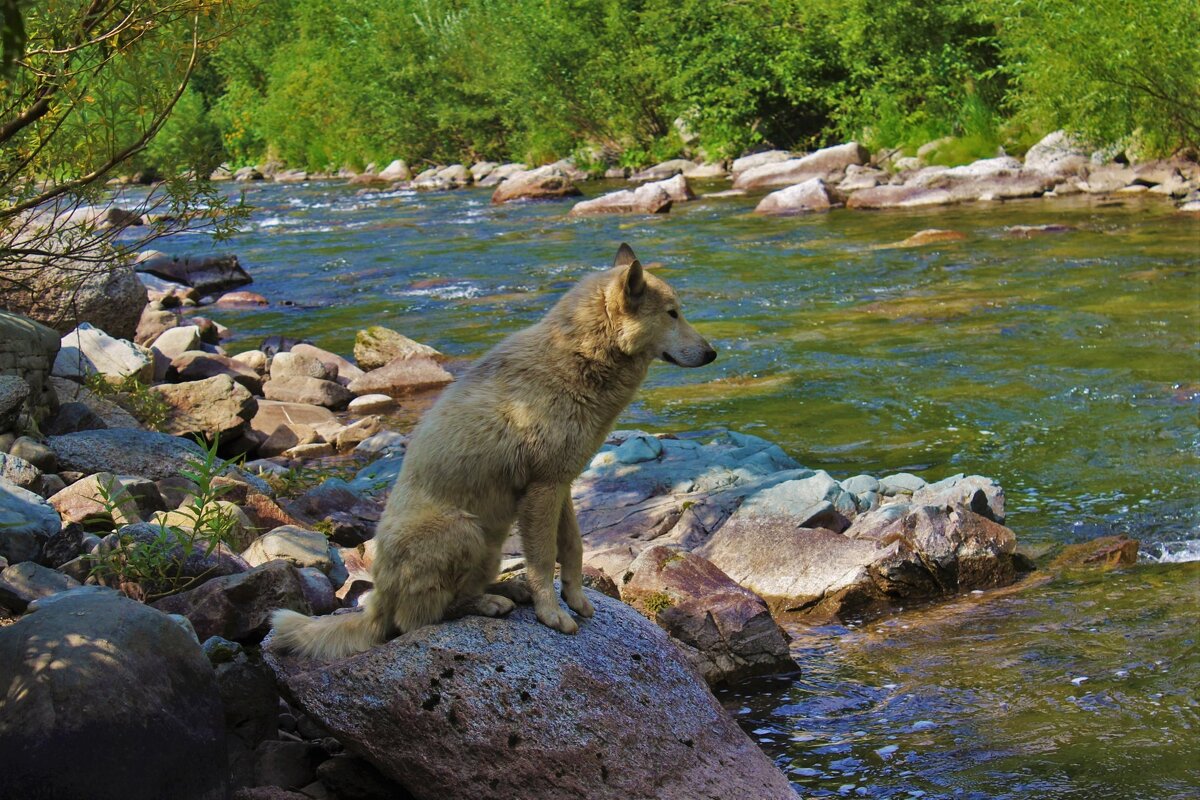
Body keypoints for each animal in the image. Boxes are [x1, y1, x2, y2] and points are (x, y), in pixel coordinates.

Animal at [270, 244, 710, 657]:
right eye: (672, 313)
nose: (712, 353)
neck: (578, 359)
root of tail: (376, 604)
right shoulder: (542, 490)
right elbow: (541, 560)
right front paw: (552, 614)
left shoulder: (561, 485)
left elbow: (573, 547)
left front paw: (575, 599)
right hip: (465, 529)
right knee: (420, 618)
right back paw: (489, 603)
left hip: (491, 542)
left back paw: (506, 592)